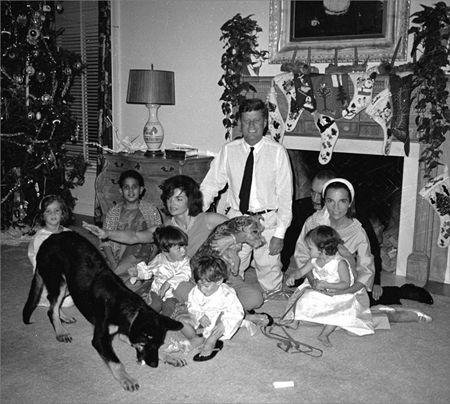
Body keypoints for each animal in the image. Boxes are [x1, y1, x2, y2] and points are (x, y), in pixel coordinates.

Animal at [22, 230, 185, 392]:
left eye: (158, 344)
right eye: (145, 344)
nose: (154, 365)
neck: (128, 308)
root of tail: (49, 238)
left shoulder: (125, 332)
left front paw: (170, 357)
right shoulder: (100, 340)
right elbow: (116, 362)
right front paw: (126, 379)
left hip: (71, 285)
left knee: (52, 302)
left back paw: (64, 318)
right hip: (58, 281)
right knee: (51, 308)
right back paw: (61, 331)